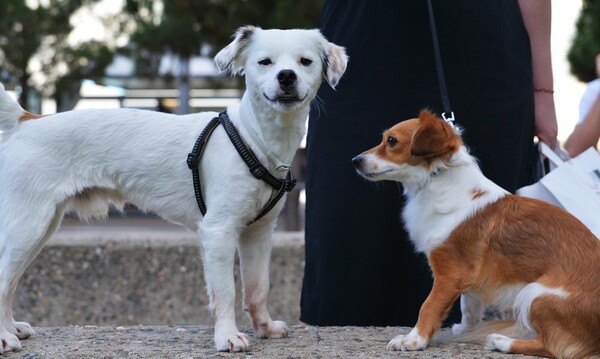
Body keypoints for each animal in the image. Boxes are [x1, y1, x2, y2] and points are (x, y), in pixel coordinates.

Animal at [0, 26, 346, 352]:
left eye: (305, 62)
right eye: (265, 62)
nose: (286, 76)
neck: (255, 138)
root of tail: (27, 120)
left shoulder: (258, 232)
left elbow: (257, 287)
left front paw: (264, 327)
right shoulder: (219, 232)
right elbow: (226, 290)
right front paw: (227, 336)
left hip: (39, 230)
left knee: (9, 281)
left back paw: (11, 328)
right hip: (28, 226)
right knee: (4, 279)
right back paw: (4, 338)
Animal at [352, 111, 600, 358]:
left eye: (391, 141)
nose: (355, 161)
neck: (435, 179)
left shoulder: (449, 273)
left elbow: (429, 306)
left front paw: (414, 340)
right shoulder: (467, 273)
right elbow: (468, 305)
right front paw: (466, 329)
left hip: (535, 294)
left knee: (555, 347)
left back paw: (502, 341)